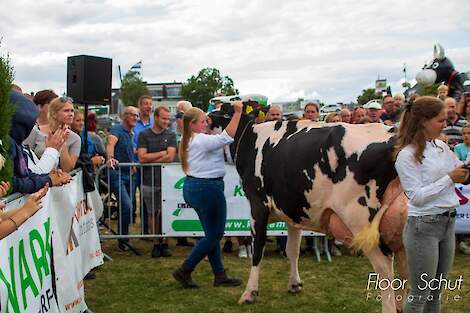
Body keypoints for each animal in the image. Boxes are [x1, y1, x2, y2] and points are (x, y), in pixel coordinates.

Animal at [211, 105, 410, 312]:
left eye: (221, 113)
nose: (207, 119)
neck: (250, 139)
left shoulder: (258, 205)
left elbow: (258, 250)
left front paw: (250, 293)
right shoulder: (293, 211)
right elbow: (292, 250)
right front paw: (295, 284)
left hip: (361, 221)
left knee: (385, 268)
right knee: (406, 269)